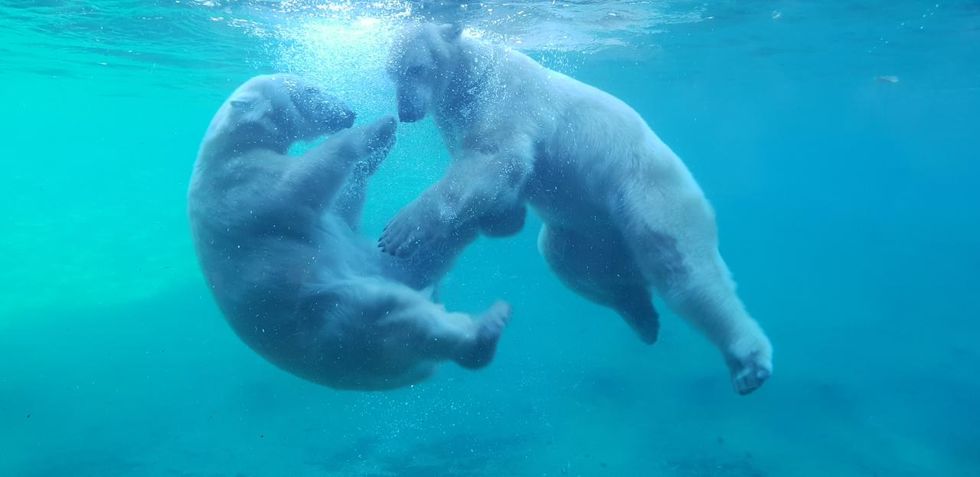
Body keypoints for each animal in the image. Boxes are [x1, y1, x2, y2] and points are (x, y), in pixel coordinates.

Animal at [189, 72, 512, 388]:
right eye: (311, 90)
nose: (348, 112)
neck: (228, 147)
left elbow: (343, 210)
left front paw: (381, 145)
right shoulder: (240, 185)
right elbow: (299, 180)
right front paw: (378, 128)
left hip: (376, 267)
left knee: (420, 260)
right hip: (334, 321)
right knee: (399, 316)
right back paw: (486, 329)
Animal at [380, 23, 772, 394]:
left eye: (417, 68)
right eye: (393, 73)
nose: (406, 112)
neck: (473, 75)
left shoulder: (504, 99)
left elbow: (496, 157)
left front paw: (400, 231)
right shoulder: (457, 120)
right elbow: (501, 185)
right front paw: (504, 218)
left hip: (649, 193)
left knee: (686, 270)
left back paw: (748, 363)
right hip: (590, 232)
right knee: (572, 262)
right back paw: (642, 316)